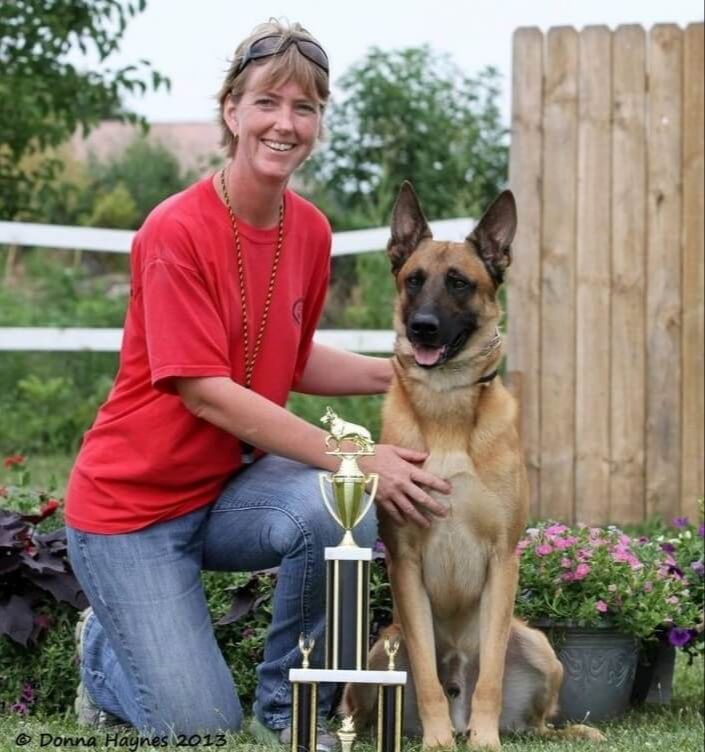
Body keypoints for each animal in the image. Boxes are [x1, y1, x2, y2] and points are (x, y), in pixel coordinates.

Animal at [340, 185, 600, 748]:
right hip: (378, 653)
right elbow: (427, 675)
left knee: (535, 718)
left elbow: (493, 676)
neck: (447, 409)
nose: (422, 329)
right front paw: (437, 740)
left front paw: (485, 739)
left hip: (539, 646)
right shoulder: (406, 562)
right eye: (414, 280)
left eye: (459, 282)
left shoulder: (503, 558)